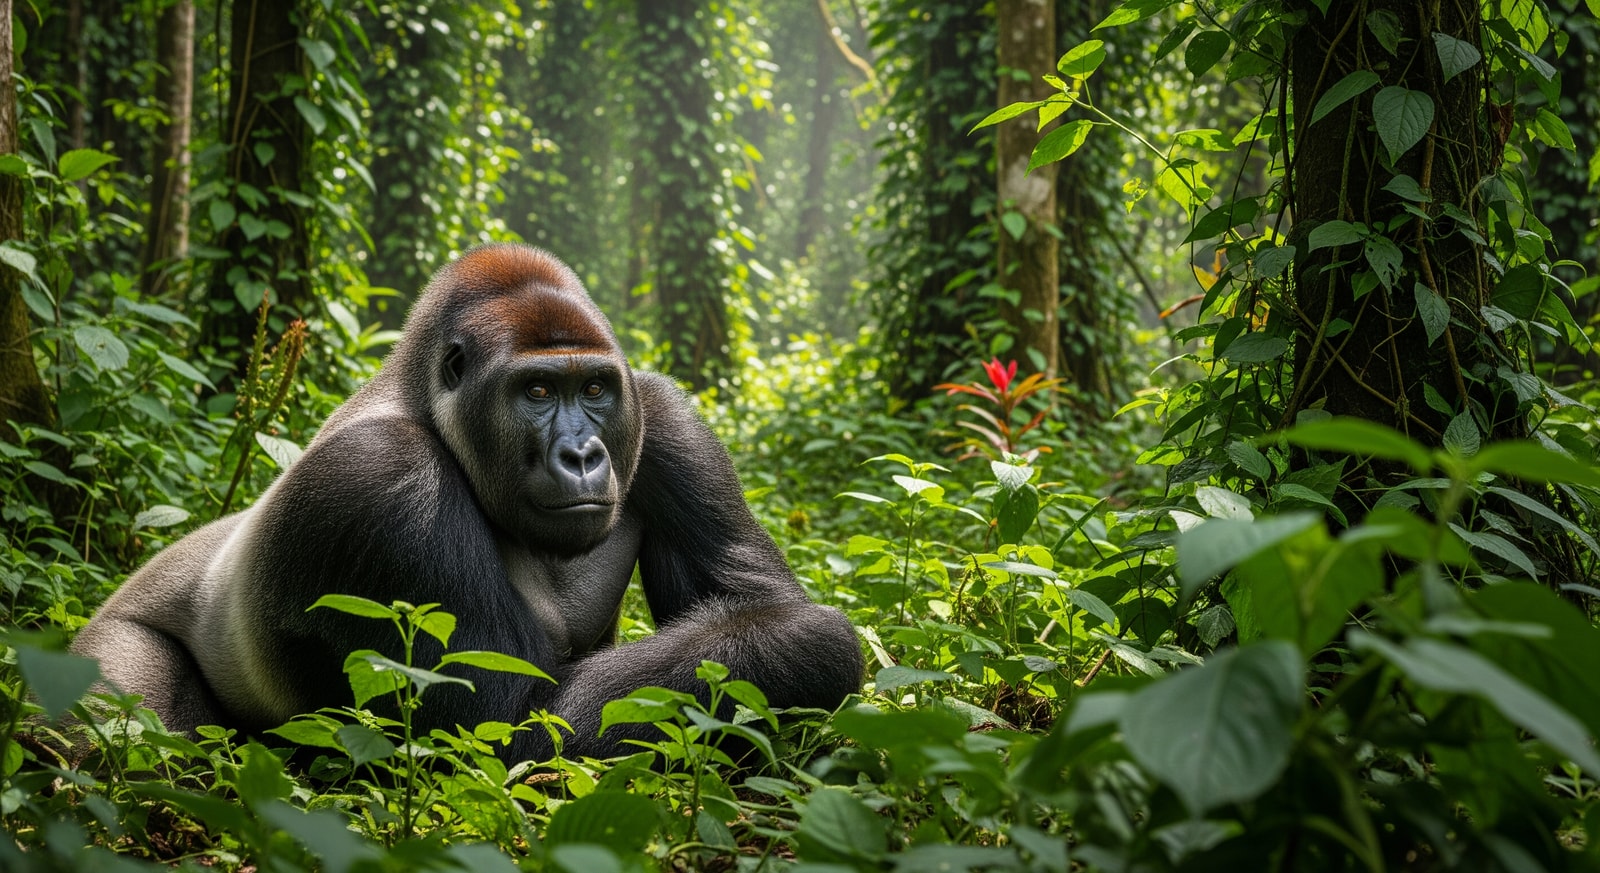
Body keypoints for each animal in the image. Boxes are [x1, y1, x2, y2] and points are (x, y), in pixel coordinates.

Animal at [71, 244, 863, 761]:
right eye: (537, 391)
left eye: (595, 389)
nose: (582, 455)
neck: (421, 396)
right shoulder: (383, 478)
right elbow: (509, 723)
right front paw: (822, 641)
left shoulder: (663, 413)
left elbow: (753, 599)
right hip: (106, 645)